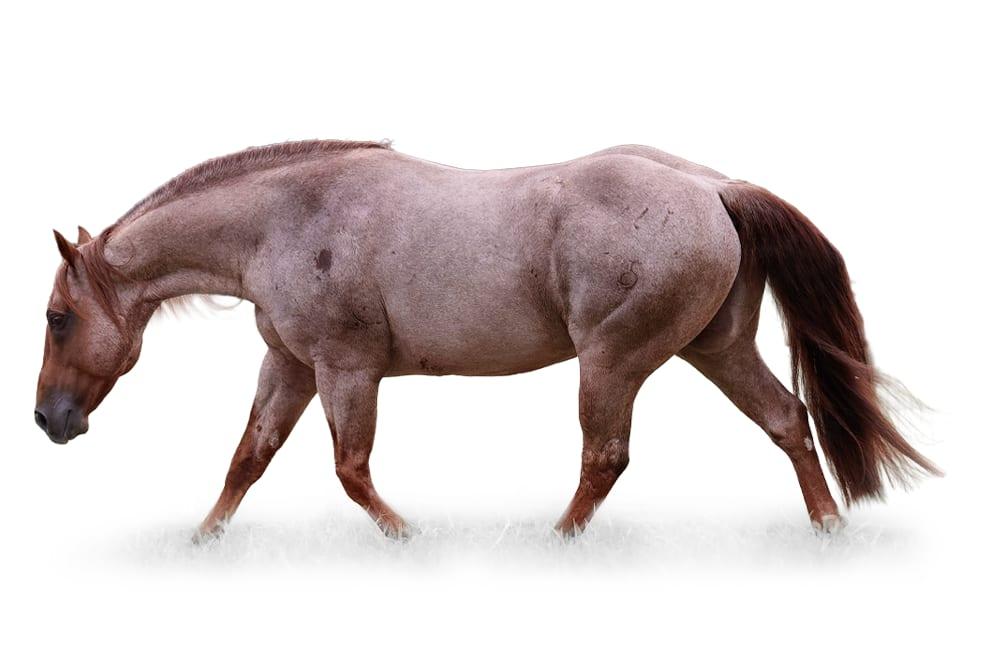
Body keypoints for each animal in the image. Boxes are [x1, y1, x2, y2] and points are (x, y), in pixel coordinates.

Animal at [34, 140, 939, 539]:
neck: (288, 217)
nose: (49, 419)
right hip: (717, 349)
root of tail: (716, 189)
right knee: (789, 419)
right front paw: (201, 543)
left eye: (55, 317)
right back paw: (827, 530)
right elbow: (246, 459)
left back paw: (556, 544)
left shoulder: (346, 368)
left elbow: (351, 470)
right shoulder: (290, 363)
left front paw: (409, 540)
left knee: (605, 455)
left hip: (613, 361)